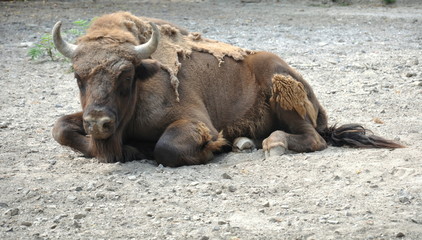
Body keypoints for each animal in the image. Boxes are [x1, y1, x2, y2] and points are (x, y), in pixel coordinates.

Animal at [51, 11, 404, 167]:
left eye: (125, 75)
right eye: (78, 76)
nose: (98, 123)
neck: (143, 76)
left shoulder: (196, 121)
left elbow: (167, 148)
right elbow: (60, 127)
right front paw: (129, 149)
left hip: (281, 88)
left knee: (312, 138)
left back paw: (272, 145)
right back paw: (244, 141)